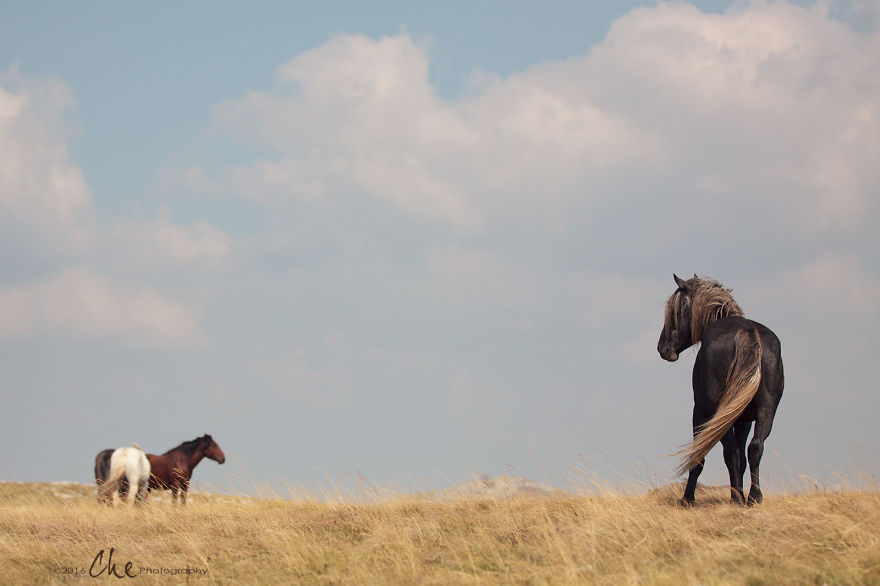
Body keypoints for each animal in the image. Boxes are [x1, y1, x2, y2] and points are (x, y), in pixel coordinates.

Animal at [657, 274, 784, 507]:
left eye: (675, 311)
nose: (663, 348)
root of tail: (747, 332)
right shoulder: (743, 420)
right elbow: (743, 458)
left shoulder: (700, 413)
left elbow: (699, 455)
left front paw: (687, 498)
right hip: (766, 410)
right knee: (755, 448)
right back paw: (753, 496)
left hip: (717, 412)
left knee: (730, 452)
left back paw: (736, 498)